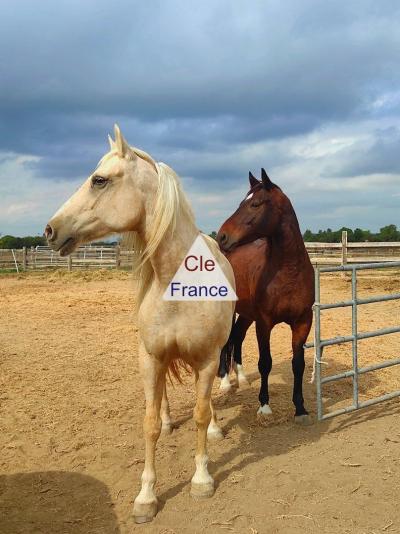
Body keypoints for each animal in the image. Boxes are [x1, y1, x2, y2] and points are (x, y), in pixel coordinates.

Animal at [45, 125, 236, 524]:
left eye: (99, 180)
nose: (50, 230)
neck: (178, 286)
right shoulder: (150, 357)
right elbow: (148, 424)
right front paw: (146, 497)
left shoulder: (208, 360)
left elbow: (200, 413)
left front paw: (201, 479)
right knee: (161, 396)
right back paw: (168, 420)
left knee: (206, 404)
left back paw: (213, 428)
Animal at [217, 170, 314, 426]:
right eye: (241, 202)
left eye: (255, 204)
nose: (222, 236)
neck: (288, 272)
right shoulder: (264, 323)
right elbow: (265, 363)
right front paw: (264, 406)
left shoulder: (303, 322)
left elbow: (298, 364)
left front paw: (300, 408)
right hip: (229, 311)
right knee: (226, 342)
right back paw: (224, 382)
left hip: (246, 314)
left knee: (237, 336)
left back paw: (241, 378)